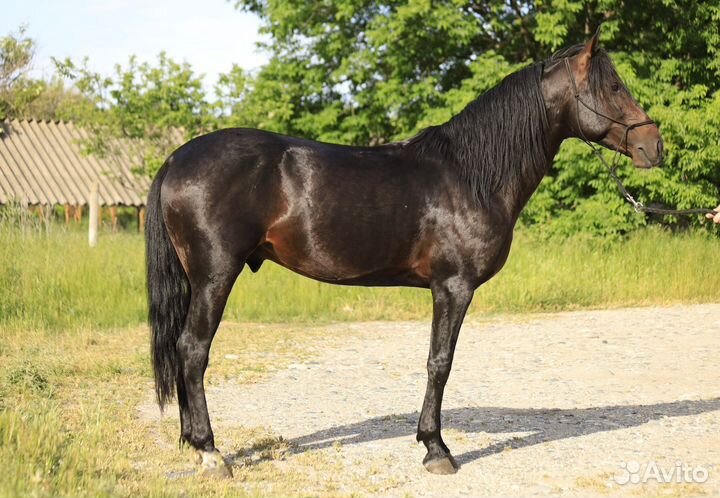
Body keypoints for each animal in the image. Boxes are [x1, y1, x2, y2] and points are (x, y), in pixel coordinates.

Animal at [145, 29, 663, 477]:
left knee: (182, 350)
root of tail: (175, 159)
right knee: (193, 350)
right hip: (215, 275)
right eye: (613, 87)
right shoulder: (453, 287)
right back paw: (210, 451)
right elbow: (440, 362)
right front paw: (436, 448)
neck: (471, 176)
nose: (653, 145)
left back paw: (193, 442)